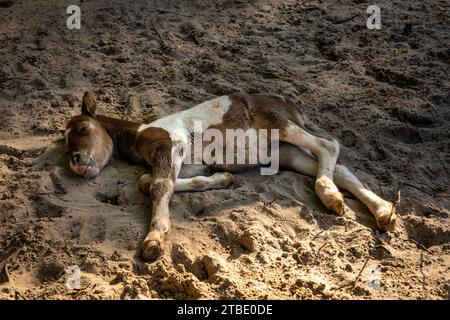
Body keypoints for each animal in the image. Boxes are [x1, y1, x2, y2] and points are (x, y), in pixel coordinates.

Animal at [64, 91, 398, 262]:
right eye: (65, 140)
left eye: (83, 128)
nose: (76, 162)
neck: (142, 134)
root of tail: (290, 104)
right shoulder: (188, 164)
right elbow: (153, 182)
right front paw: (223, 178)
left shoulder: (171, 145)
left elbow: (158, 186)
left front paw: (154, 241)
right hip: (284, 153)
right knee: (337, 166)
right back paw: (382, 212)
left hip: (279, 125)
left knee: (330, 145)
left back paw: (330, 195)